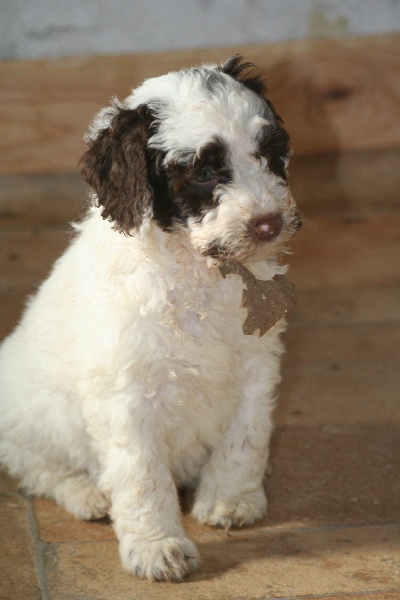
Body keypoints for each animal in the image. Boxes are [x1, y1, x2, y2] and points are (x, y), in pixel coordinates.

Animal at [0, 56, 301, 581]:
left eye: (270, 153)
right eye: (205, 171)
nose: (269, 224)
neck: (198, 270)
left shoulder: (256, 365)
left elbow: (247, 437)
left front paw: (232, 499)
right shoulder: (126, 395)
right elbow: (141, 475)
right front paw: (157, 547)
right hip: (32, 418)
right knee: (37, 467)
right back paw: (87, 493)